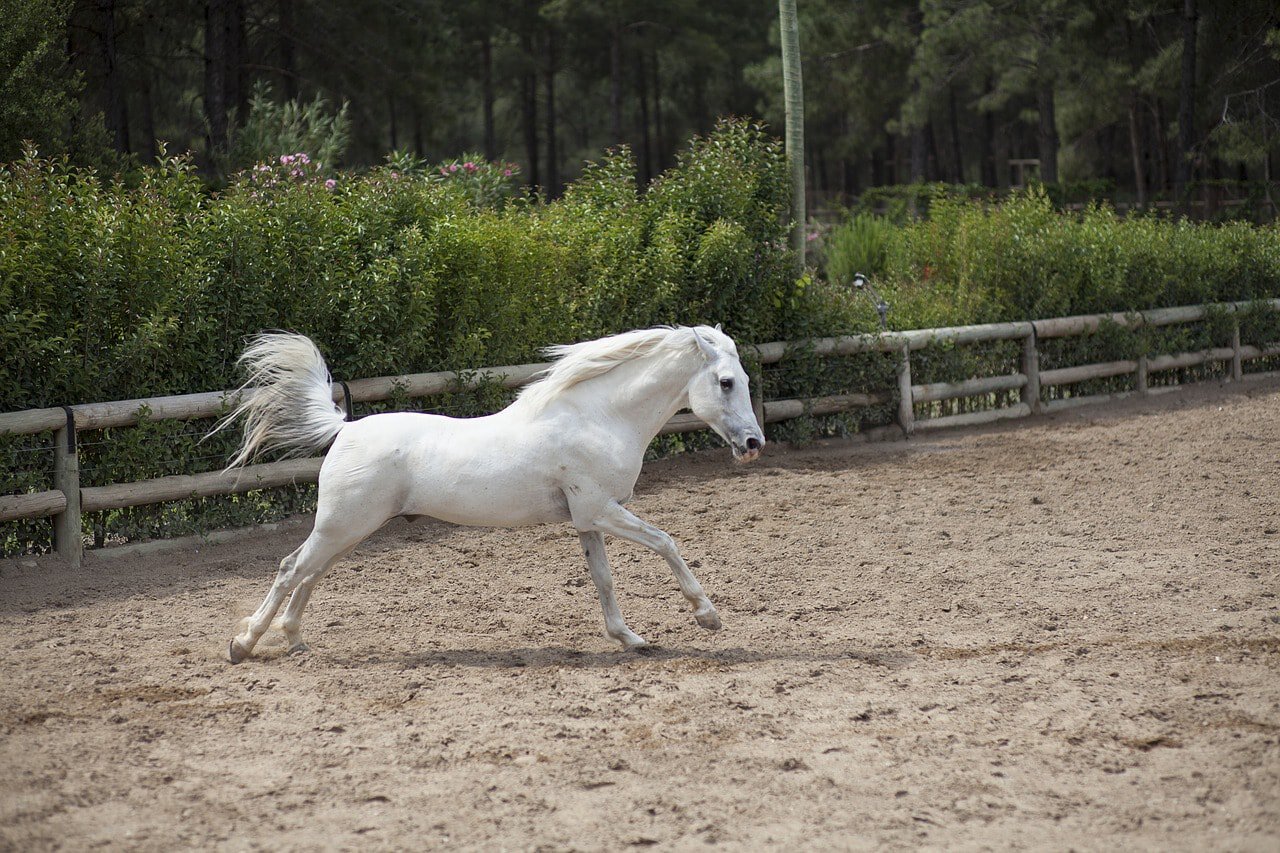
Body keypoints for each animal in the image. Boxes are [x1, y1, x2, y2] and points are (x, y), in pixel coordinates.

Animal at [214, 325, 766, 663]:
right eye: (725, 382)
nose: (753, 444)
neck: (597, 418)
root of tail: (344, 428)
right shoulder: (602, 511)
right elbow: (666, 543)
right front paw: (708, 617)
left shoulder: (587, 519)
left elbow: (604, 580)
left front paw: (630, 639)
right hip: (342, 525)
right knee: (291, 569)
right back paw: (243, 644)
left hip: (349, 530)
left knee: (309, 574)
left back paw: (294, 640)